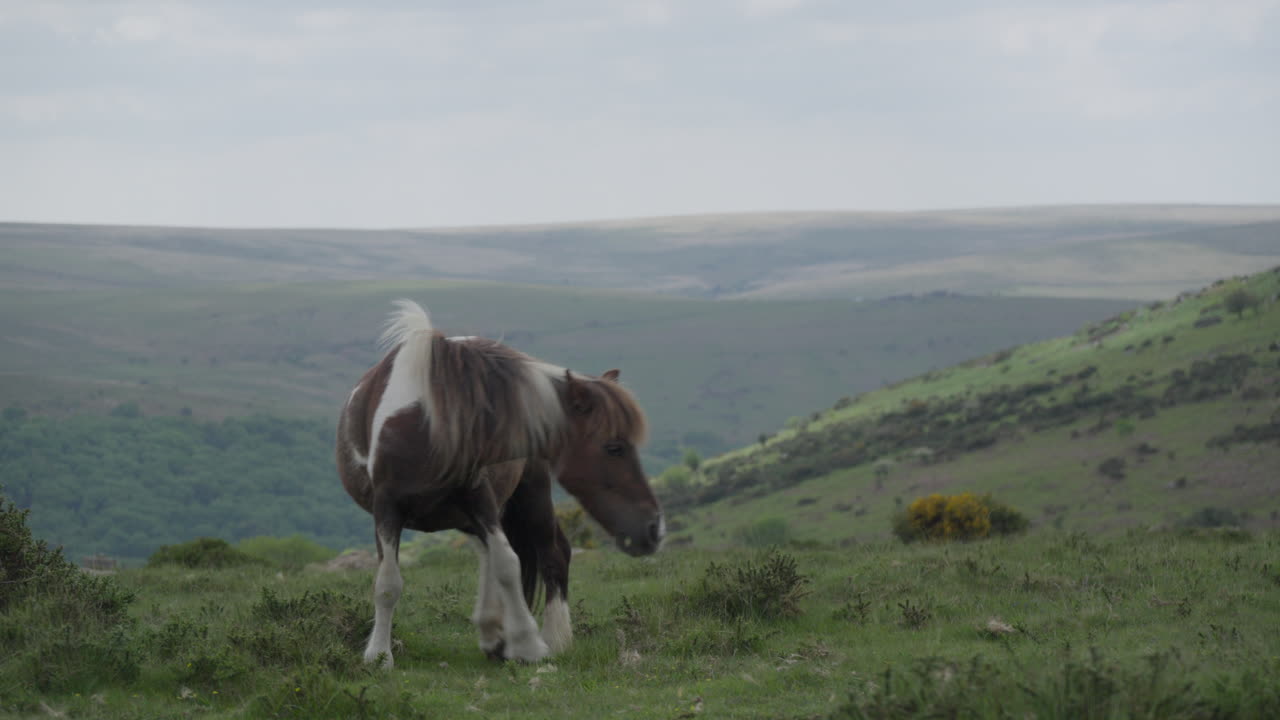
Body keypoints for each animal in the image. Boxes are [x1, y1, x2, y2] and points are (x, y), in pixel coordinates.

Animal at [336, 301, 663, 666]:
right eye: (614, 447)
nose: (653, 529)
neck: (428, 424)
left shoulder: (481, 499)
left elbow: (508, 563)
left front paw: (529, 644)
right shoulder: (387, 509)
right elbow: (388, 584)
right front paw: (379, 655)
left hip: (530, 494)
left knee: (552, 552)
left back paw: (552, 637)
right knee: (488, 555)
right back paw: (494, 631)